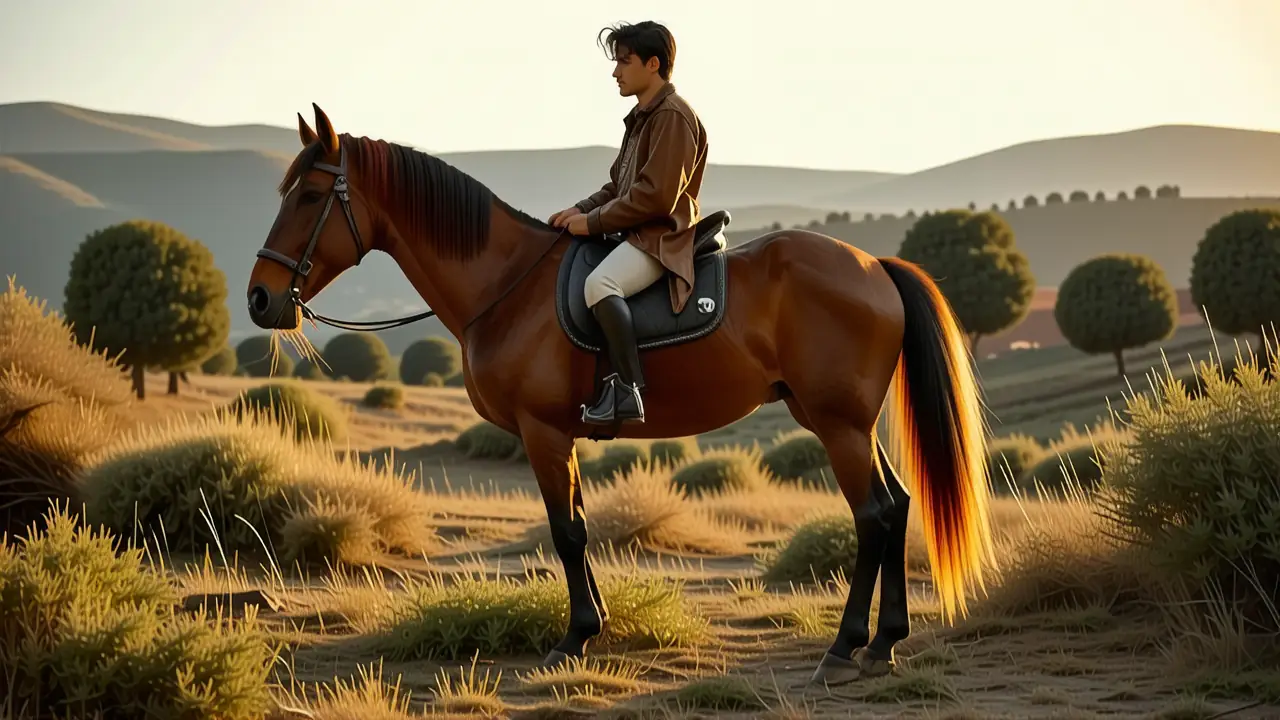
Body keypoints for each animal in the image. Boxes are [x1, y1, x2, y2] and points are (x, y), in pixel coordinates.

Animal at [245, 104, 997, 686]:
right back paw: (882, 644)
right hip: (839, 420)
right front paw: (595, 625)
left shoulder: (543, 432)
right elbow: (575, 524)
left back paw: (843, 650)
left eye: (309, 197)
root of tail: (873, 266)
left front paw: (574, 637)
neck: (507, 284)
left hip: (839, 425)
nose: (259, 299)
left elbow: (567, 531)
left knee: (871, 516)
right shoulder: (560, 435)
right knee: (895, 507)